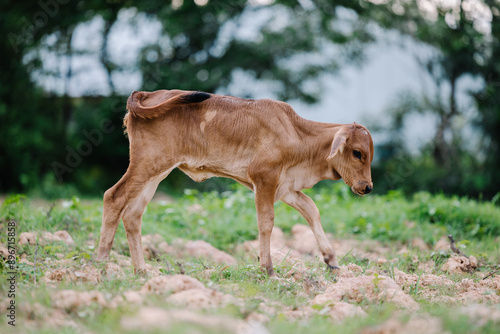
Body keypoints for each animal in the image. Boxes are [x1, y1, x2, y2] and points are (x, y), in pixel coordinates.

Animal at [95, 88, 374, 274]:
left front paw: (331, 260)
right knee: (113, 197)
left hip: (156, 173)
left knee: (133, 214)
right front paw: (267, 269)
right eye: (357, 152)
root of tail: (146, 93)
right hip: (147, 165)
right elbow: (266, 222)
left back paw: (141, 271)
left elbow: (311, 210)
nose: (368, 187)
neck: (297, 133)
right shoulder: (264, 178)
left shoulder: (285, 188)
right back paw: (101, 265)